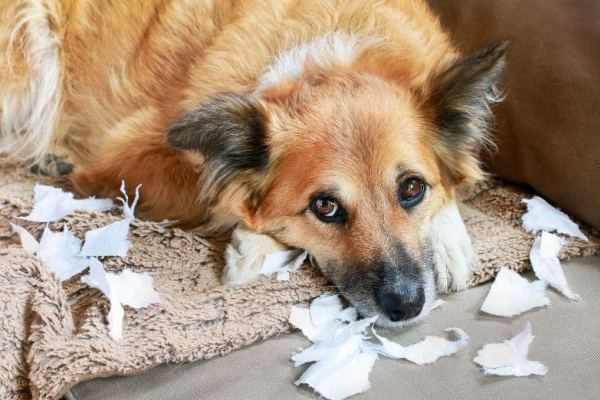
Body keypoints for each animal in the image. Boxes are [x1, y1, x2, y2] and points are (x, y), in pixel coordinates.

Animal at [0, 0, 506, 326]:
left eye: (412, 188)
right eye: (325, 207)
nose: (406, 306)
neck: (328, 56)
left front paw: (449, 242)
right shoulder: (125, 154)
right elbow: (219, 194)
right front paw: (253, 247)